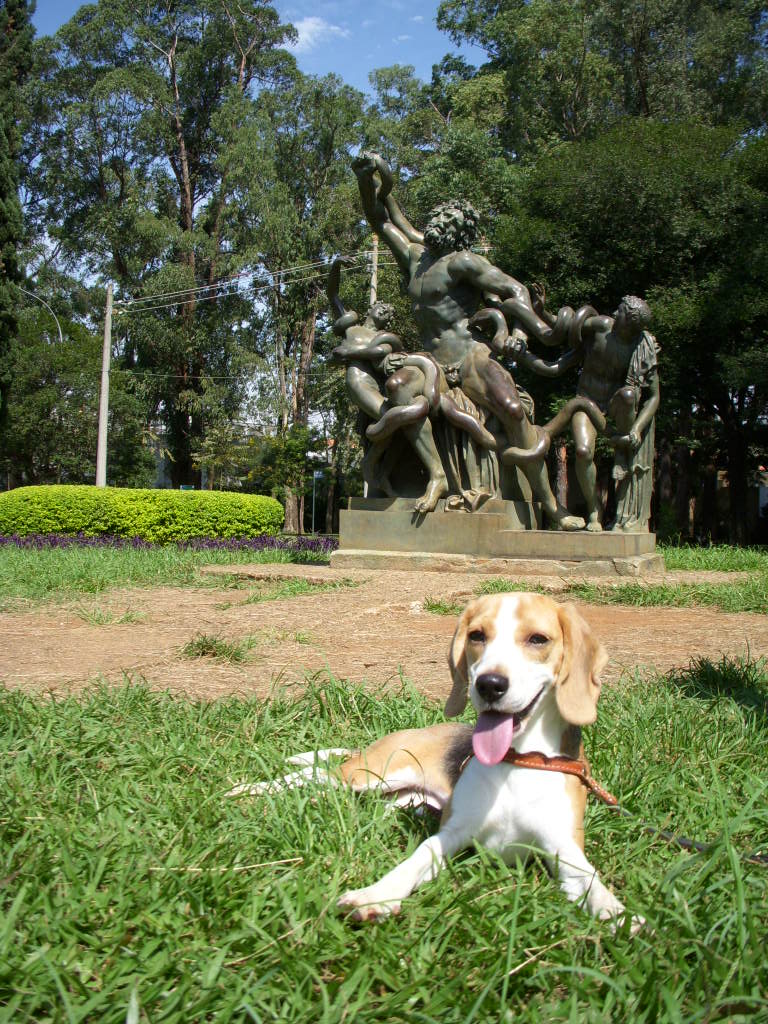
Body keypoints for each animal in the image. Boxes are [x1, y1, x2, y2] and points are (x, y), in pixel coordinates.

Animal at [236, 593, 643, 929]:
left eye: (538, 640)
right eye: (478, 635)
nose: (489, 684)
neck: (520, 761)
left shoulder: (563, 846)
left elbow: (590, 880)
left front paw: (619, 915)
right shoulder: (453, 832)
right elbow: (418, 857)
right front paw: (375, 896)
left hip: (399, 797)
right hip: (373, 773)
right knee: (317, 773)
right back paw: (248, 789)